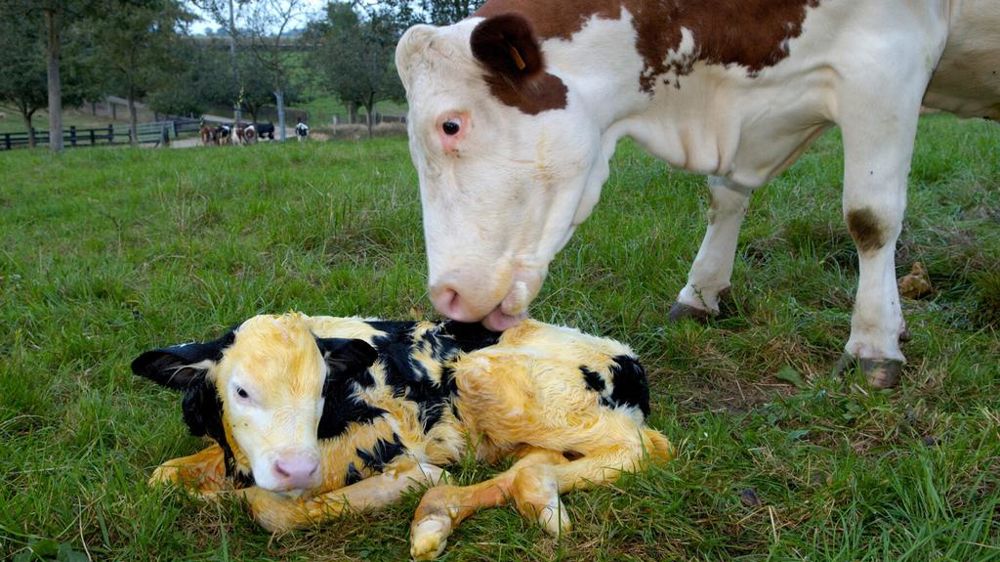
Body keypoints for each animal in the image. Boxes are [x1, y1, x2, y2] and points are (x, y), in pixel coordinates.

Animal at [133, 313, 672, 560]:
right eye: (241, 390)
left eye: (322, 389)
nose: (297, 467)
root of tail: (629, 359)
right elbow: (163, 477)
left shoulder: (391, 445)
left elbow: (271, 510)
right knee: (538, 459)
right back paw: (455, 511)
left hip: (493, 377)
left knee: (645, 448)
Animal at [395, 0, 1000, 389]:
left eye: (450, 125)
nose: (446, 295)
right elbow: (725, 198)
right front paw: (702, 292)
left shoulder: (886, 62)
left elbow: (870, 217)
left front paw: (874, 342)